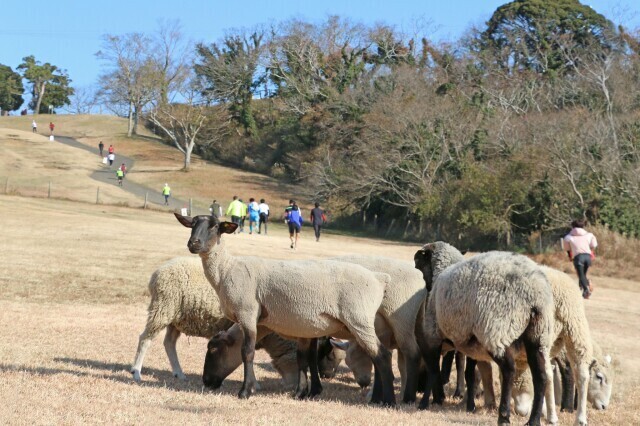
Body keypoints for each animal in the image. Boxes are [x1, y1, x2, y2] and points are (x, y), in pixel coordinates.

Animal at [130, 255, 300, 388]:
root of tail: (157, 273)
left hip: (174, 317)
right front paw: (254, 384)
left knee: (169, 343)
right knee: (145, 339)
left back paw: (179, 373)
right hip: (163, 308)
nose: (294, 390)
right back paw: (136, 372)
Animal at [175, 215, 396, 408]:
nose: (193, 243)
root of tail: (379, 279)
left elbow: (247, 352)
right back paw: (378, 398)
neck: (227, 270)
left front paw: (245, 391)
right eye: (192, 224)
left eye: (214, 226)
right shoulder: (302, 328)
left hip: (359, 320)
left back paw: (389, 401)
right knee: (377, 356)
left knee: (382, 356)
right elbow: (302, 359)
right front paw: (302, 393)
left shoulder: (247, 314)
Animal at [412, 243, 556, 426]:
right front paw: (469, 405)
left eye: (420, 263)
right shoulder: (471, 344)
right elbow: (469, 374)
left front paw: (424, 403)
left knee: (509, 369)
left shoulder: (432, 337)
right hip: (538, 335)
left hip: (496, 329)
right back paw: (533, 420)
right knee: (541, 376)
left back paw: (504, 416)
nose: (427, 290)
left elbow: (433, 371)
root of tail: (534, 291)